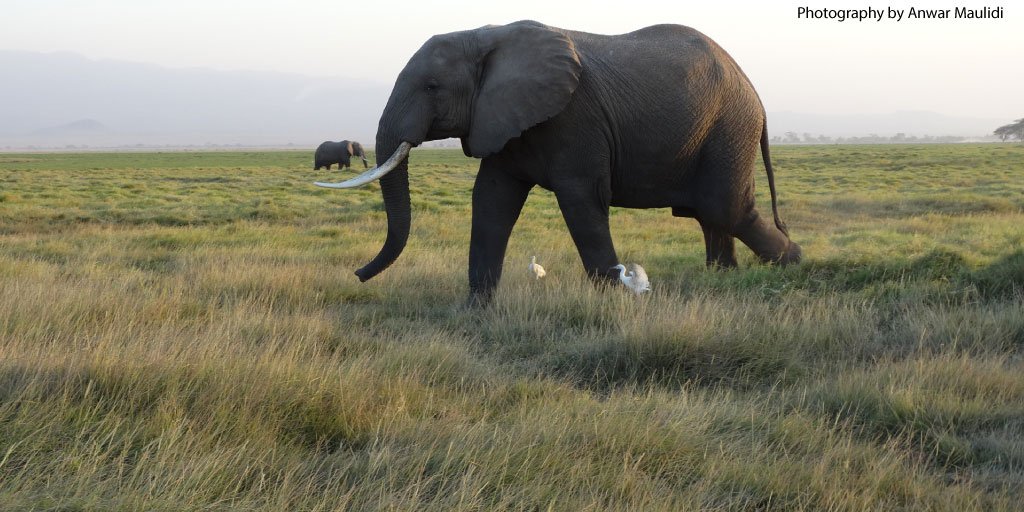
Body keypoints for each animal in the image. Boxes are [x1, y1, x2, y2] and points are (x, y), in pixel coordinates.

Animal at [315, 20, 802, 304]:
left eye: (432, 87)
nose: (358, 274)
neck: (487, 36)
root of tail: (756, 96)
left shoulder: (574, 118)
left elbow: (582, 200)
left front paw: (611, 301)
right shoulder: (503, 116)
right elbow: (491, 201)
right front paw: (477, 310)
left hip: (728, 128)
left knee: (726, 209)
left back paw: (792, 264)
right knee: (709, 214)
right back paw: (725, 278)